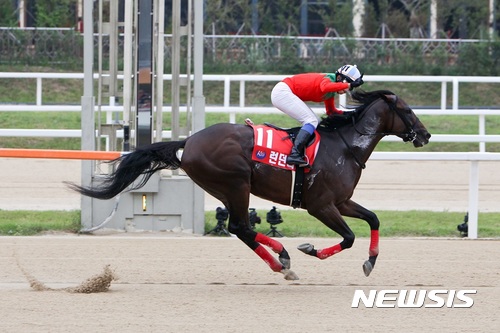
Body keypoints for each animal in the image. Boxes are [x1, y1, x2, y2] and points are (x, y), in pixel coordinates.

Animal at [68, 89, 432, 278]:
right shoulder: (320, 205)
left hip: (227, 188)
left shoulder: (341, 201)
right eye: (406, 109)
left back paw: (280, 261)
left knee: (241, 229)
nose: (426, 134)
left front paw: (371, 261)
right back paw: (283, 259)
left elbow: (373, 219)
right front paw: (310, 249)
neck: (344, 146)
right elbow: (348, 237)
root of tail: (188, 143)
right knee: (241, 227)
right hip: (235, 184)